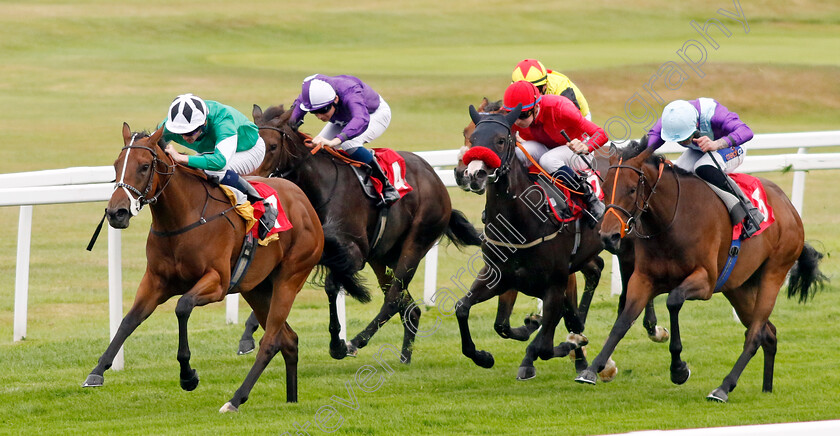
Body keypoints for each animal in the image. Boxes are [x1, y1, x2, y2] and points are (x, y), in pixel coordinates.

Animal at [79, 123, 342, 412]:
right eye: (116, 165)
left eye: (145, 166)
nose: (116, 213)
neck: (183, 219)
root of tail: (305, 204)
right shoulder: (155, 281)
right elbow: (128, 320)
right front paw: (97, 372)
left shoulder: (217, 282)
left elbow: (182, 306)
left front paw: (188, 376)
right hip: (257, 289)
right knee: (289, 339)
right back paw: (291, 398)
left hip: (289, 278)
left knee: (271, 341)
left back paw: (235, 400)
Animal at [251, 104, 480, 362]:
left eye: (272, 146)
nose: (254, 179)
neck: (320, 186)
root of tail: (437, 180)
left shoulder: (353, 254)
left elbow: (331, 286)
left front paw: (337, 344)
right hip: (382, 256)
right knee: (409, 306)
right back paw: (405, 356)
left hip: (415, 244)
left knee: (392, 301)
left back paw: (356, 342)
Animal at [456, 104, 608, 378]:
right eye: (471, 138)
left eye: (501, 140)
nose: (473, 174)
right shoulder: (499, 275)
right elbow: (467, 310)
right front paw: (483, 356)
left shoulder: (555, 284)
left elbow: (546, 345)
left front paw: (564, 345)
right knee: (594, 270)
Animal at [576, 140, 828, 402]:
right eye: (604, 187)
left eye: (632, 190)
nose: (609, 236)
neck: (672, 221)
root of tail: (790, 207)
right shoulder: (643, 278)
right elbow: (623, 320)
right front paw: (592, 369)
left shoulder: (705, 281)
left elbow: (673, 301)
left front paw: (678, 369)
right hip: (739, 287)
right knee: (769, 333)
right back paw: (766, 388)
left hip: (774, 273)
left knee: (755, 334)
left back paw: (723, 388)